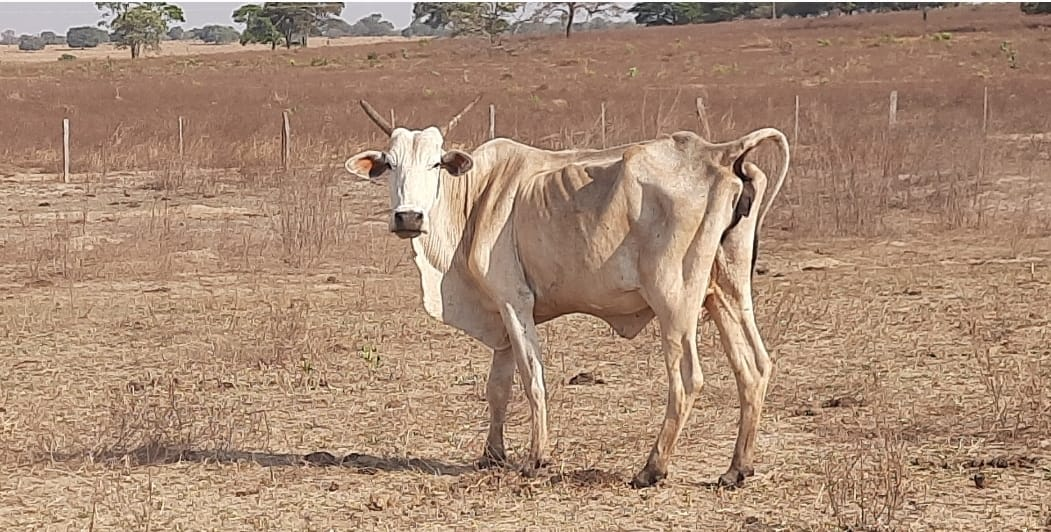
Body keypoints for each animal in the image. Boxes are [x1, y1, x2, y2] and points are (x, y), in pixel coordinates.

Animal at [344, 97, 790, 487]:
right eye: (390, 164)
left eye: (436, 162)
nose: (408, 217)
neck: (476, 195)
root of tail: (718, 153)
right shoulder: (501, 315)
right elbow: (497, 387)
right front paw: (492, 454)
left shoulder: (514, 302)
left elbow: (531, 378)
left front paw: (536, 458)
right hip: (727, 292)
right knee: (754, 367)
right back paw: (736, 469)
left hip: (675, 302)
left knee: (687, 379)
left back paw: (652, 469)